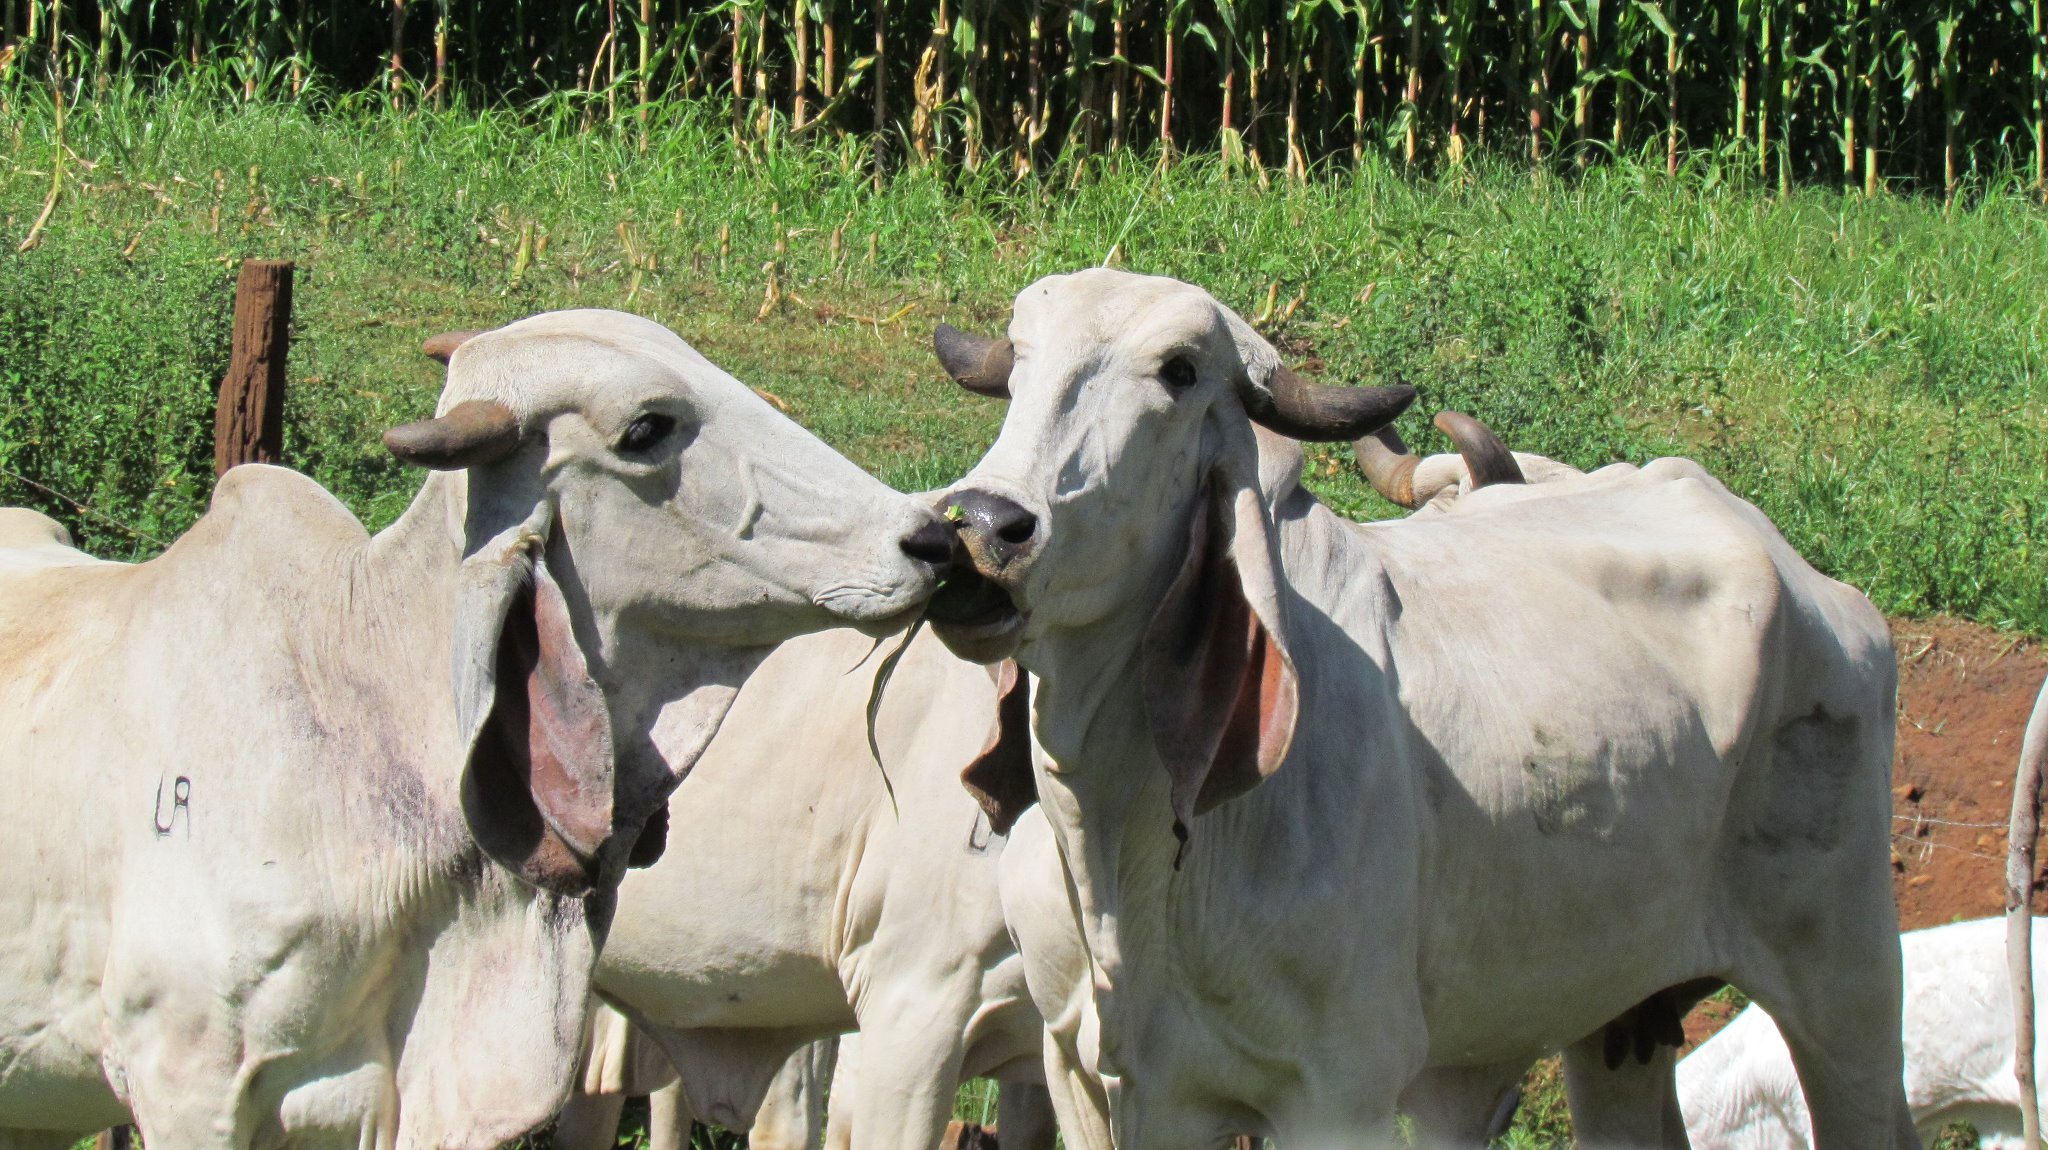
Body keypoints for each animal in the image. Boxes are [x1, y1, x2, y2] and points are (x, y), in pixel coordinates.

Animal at [923, 268, 1912, 1149]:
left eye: (1179, 370)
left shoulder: (1342, 1089)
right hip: (1617, 1019)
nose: (983, 527)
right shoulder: (1097, 1077)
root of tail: (1817, 584)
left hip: (1849, 985)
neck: (1134, 846)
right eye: (1018, 359)